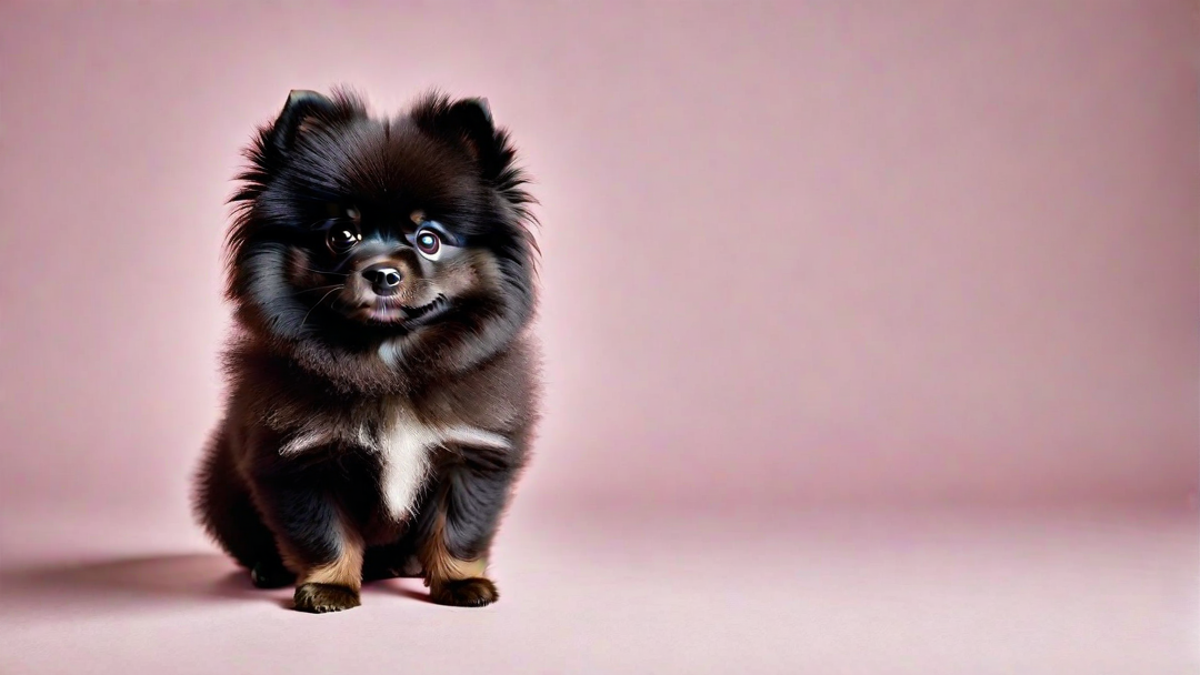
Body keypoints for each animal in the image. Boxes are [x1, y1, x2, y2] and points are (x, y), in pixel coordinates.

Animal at [192, 88, 540, 610]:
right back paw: (268, 569)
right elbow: (323, 533)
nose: (382, 273)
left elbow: (458, 527)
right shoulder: (297, 460)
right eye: (341, 235)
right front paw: (328, 587)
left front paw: (460, 583)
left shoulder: (472, 452)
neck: (386, 362)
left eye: (429, 239)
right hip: (222, 491)